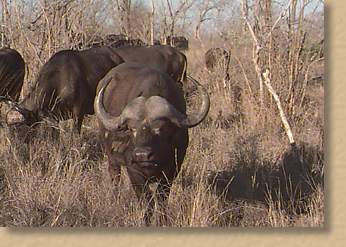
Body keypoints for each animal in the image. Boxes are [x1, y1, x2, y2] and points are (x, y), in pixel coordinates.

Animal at [93, 62, 209, 226]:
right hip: (112, 159)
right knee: (115, 177)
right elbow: (146, 201)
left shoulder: (173, 169)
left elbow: (161, 198)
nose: (142, 155)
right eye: (132, 129)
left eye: (160, 128)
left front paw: (162, 220)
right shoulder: (134, 171)